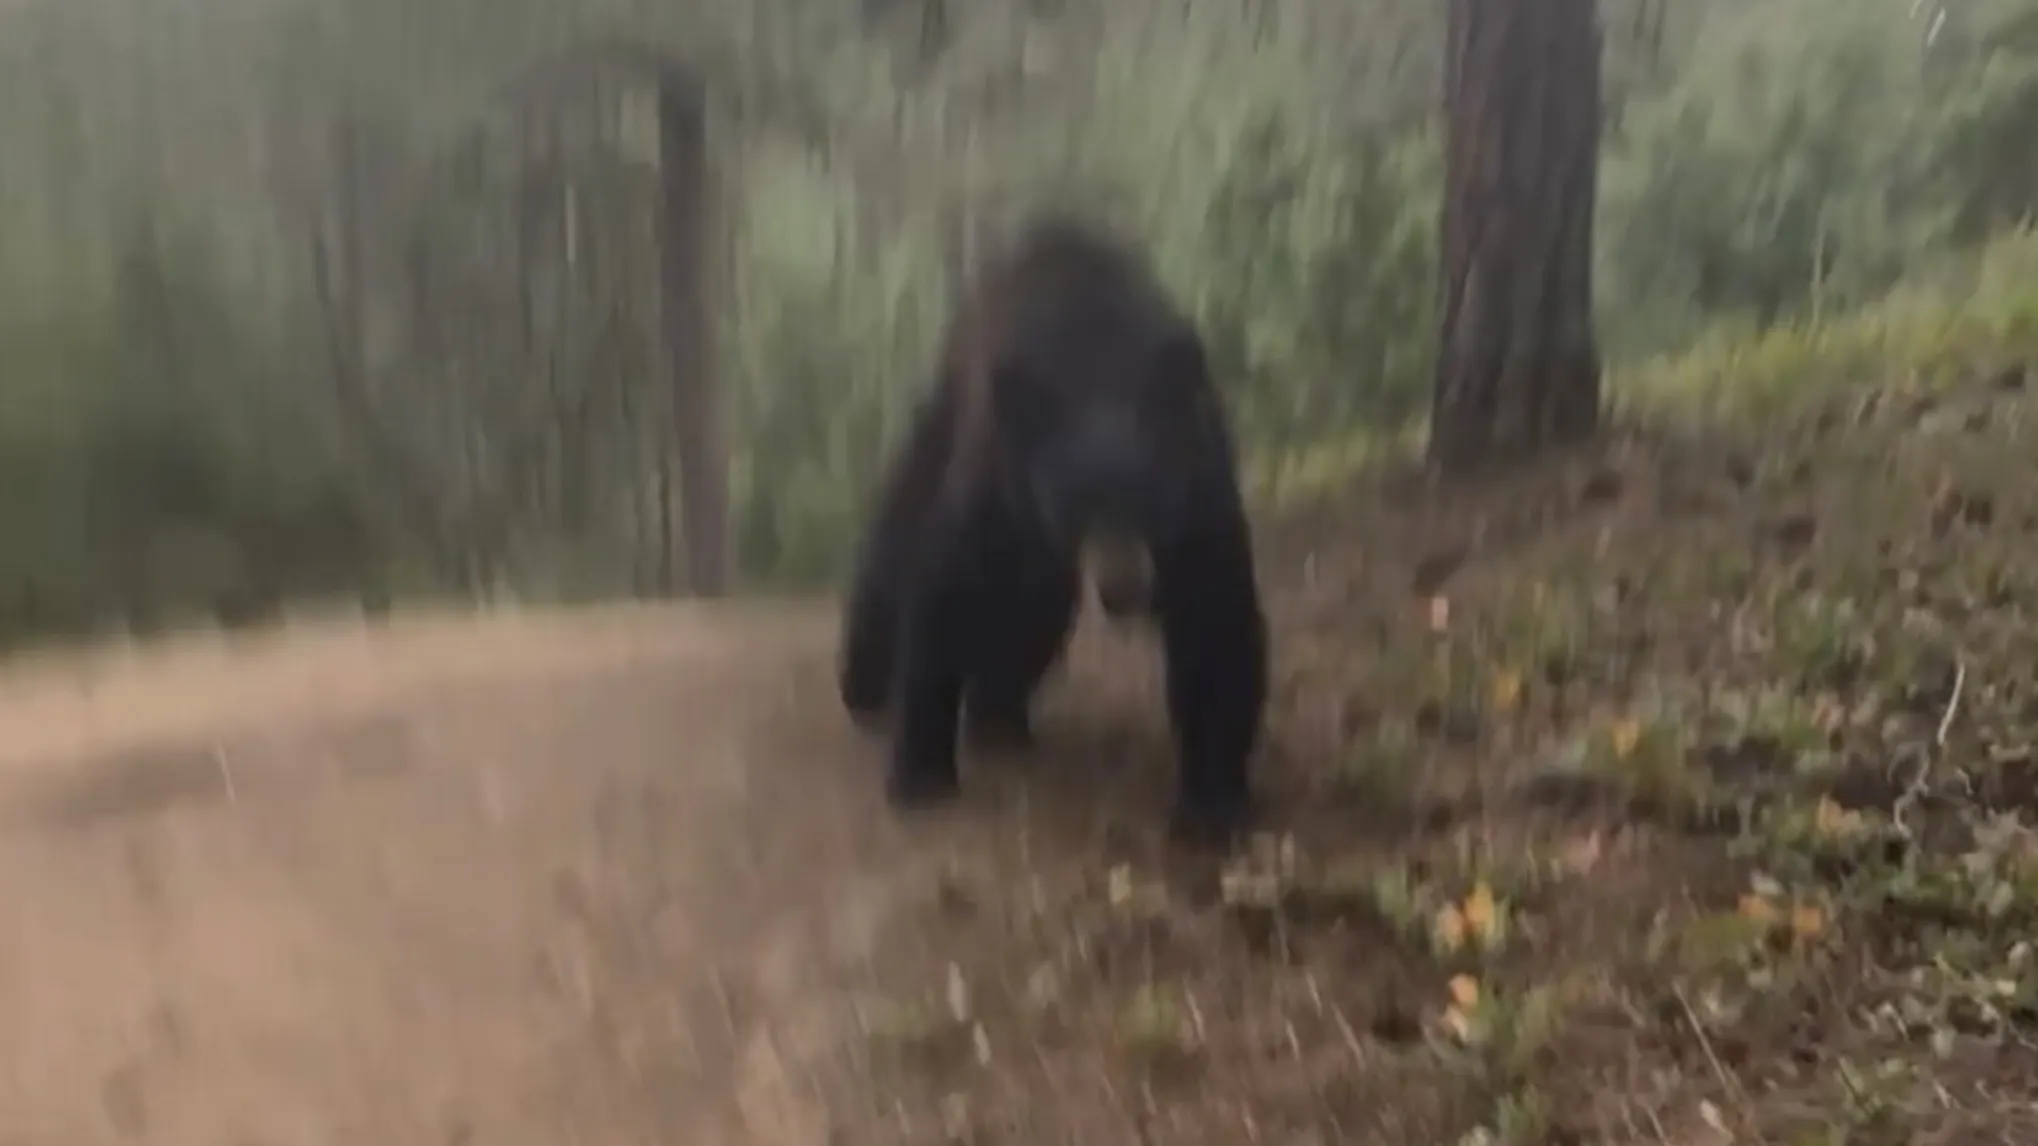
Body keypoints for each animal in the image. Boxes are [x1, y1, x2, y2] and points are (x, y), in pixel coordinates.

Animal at [837, 212, 1269, 846]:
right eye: (1081, 501)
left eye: (1148, 496)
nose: (1126, 588)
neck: (1096, 357)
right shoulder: (997, 473)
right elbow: (945, 588)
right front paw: (920, 774)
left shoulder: (1198, 477)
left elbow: (1215, 611)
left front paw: (1212, 801)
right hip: (943, 425)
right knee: (894, 544)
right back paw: (869, 691)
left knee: (1033, 614)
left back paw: (999, 715)